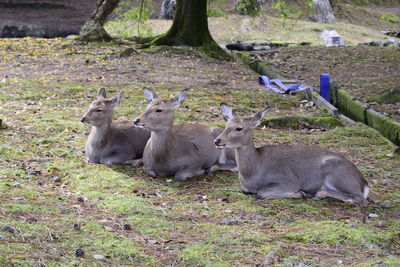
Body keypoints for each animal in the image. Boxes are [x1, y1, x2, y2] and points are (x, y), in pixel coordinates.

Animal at [216, 104, 368, 207]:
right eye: (226, 126)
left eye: (239, 128)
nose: (217, 140)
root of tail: (364, 183)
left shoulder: (287, 180)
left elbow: (261, 193)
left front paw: (299, 193)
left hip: (337, 174)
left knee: (358, 198)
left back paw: (316, 194)